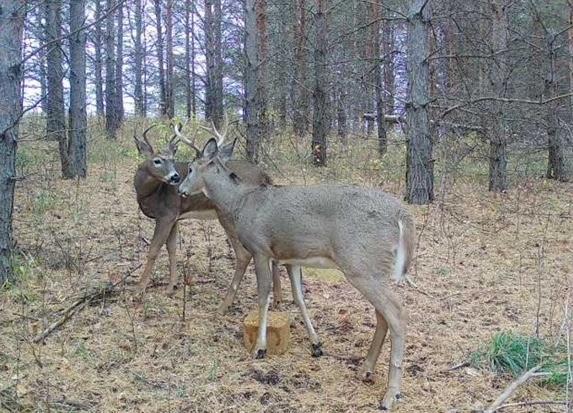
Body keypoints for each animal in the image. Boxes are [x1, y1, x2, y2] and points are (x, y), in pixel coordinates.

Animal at [135, 120, 286, 314]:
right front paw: (171, 287)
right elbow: (172, 249)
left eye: (173, 160)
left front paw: (139, 289)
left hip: (228, 217)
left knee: (243, 254)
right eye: (157, 160)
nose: (175, 177)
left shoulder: (166, 215)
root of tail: (265, 176)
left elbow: (154, 250)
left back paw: (225, 305)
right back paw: (278, 299)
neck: (147, 194)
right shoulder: (174, 217)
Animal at [177, 138, 414, 408]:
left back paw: (391, 394)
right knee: (382, 315)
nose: (180, 189)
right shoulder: (292, 256)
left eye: (190, 169)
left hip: (361, 265)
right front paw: (316, 344)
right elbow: (299, 297)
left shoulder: (260, 249)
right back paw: (365, 370)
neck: (240, 202)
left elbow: (264, 295)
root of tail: (402, 215)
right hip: (372, 268)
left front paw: (260, 348)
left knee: (397, 313)